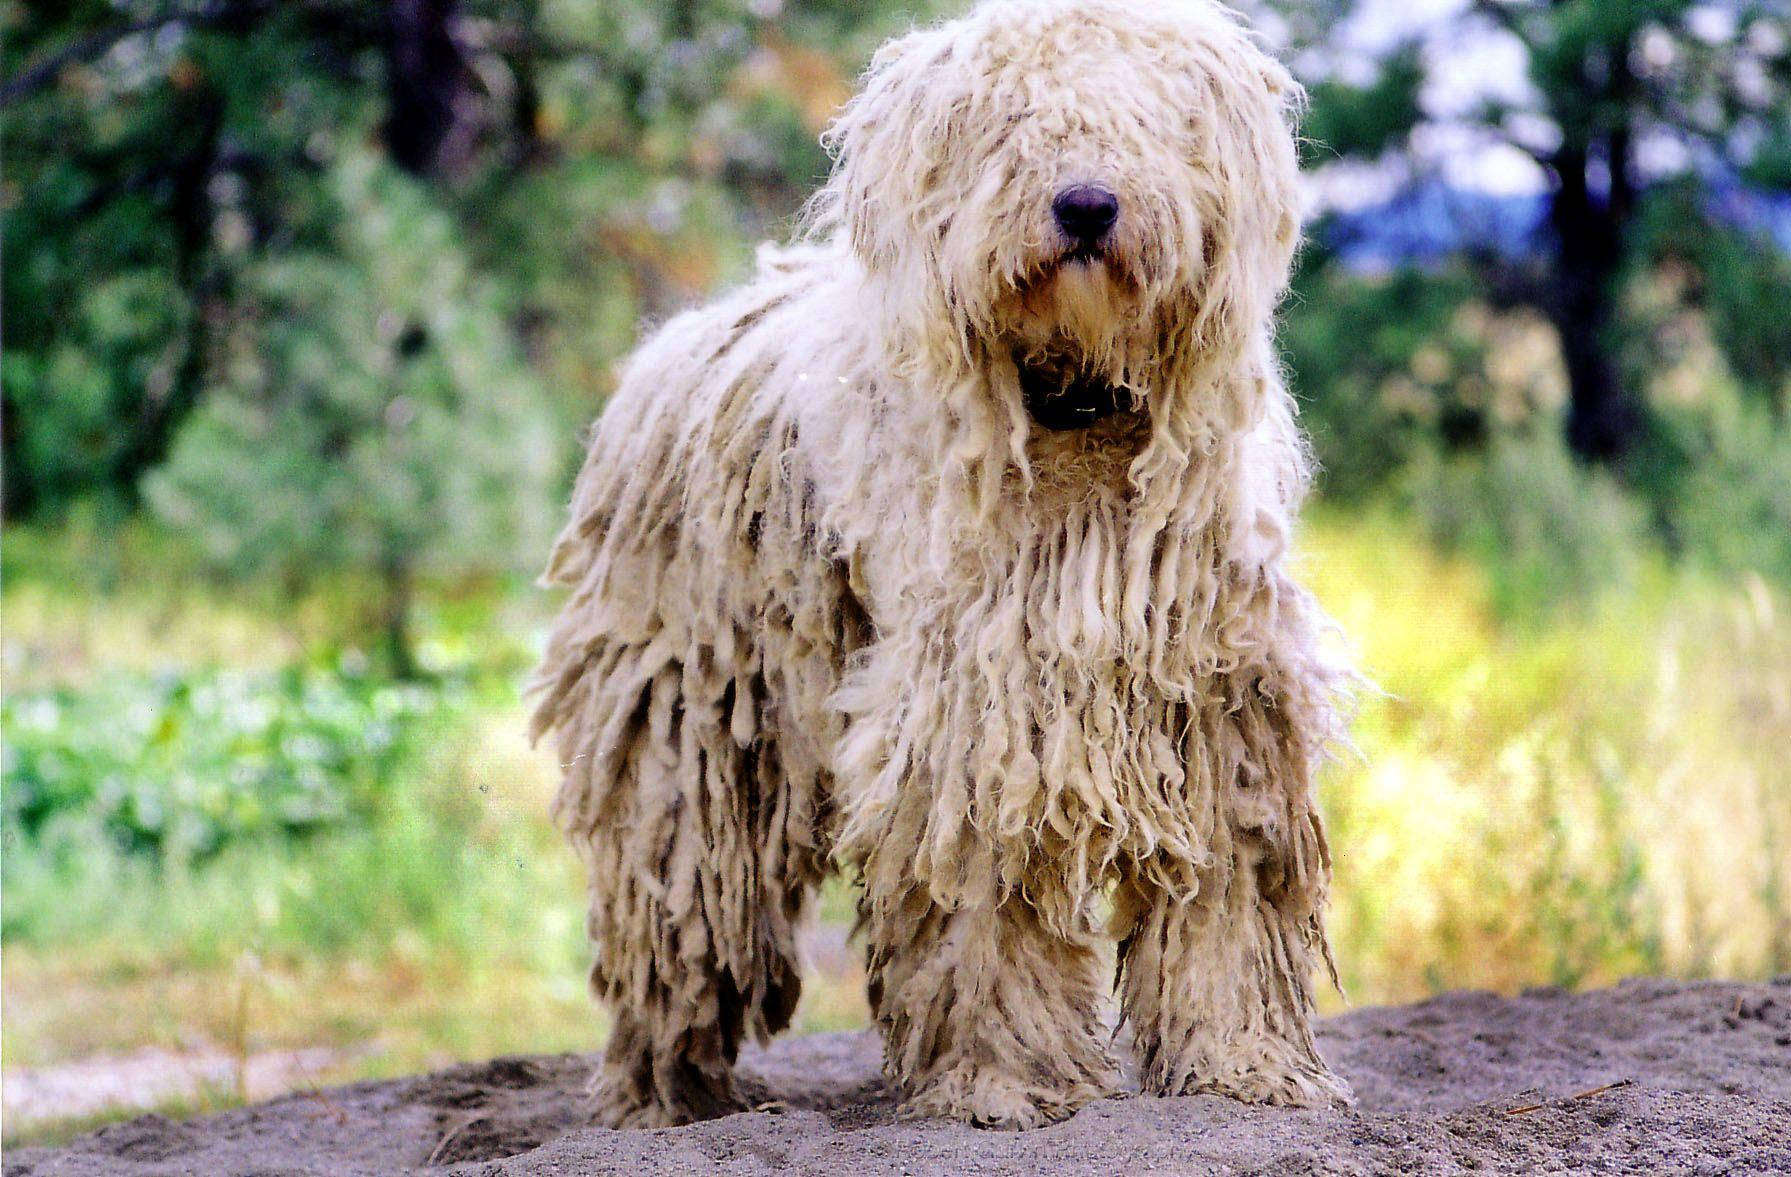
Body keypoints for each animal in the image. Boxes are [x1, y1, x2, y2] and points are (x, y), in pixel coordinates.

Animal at [530, 0, 1353, 1125]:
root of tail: (679, 340)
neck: (1076, 411)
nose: (1086, 204)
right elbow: (981, 901)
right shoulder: (972, 707)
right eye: (1011, 123)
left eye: (1145, 120)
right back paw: (663, 1095)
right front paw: (1000, 1080)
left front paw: (1242, 1065)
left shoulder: (1217, 695)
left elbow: (1226, 888)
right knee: (677, 906)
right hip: (688, 720)